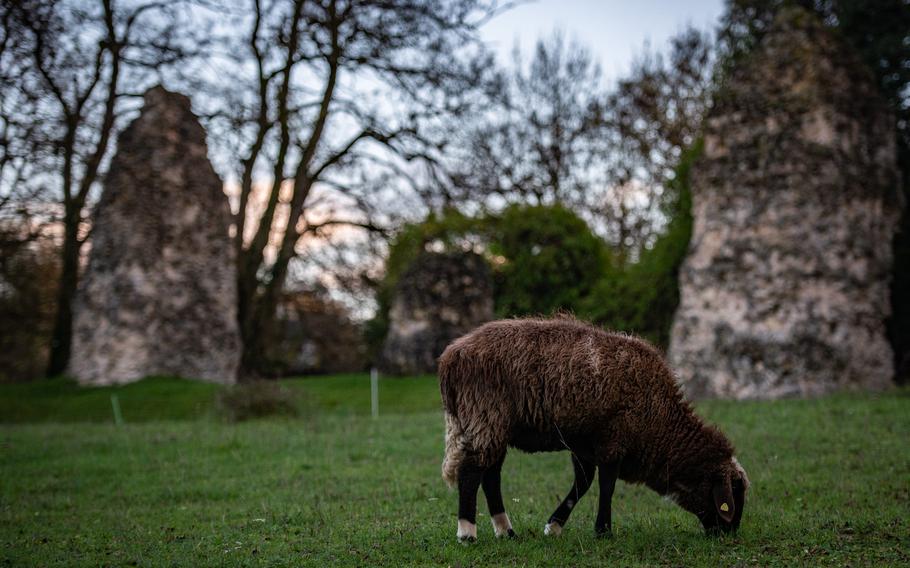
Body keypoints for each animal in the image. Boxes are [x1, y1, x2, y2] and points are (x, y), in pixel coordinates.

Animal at [440, 316, 748, 540]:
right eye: (732, 493)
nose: (728, 534)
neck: (661, 423)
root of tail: (452, 356)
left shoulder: (585, 444)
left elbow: (583, 483)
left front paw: (554, 526)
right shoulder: (614, 440)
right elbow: (606, 485)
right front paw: (603, 530)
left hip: (493, 425)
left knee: (491, 476)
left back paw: (506, 531)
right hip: (485, 416)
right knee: (471, 472)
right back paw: (467, 532)